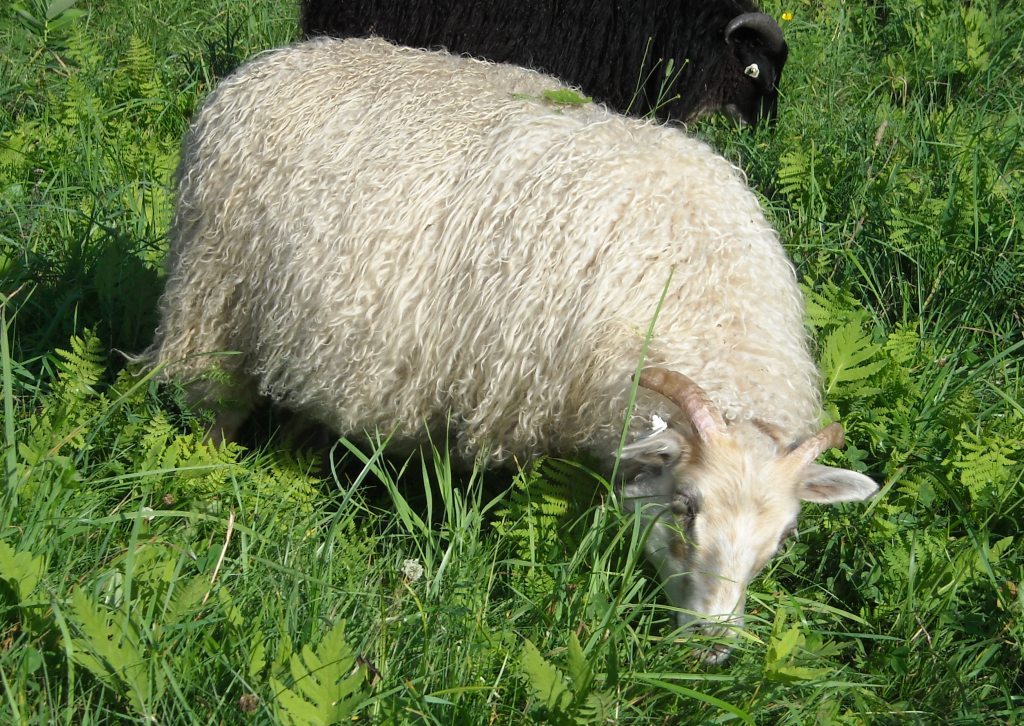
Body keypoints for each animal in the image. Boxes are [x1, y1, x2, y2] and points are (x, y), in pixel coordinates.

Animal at [145, 37, 878, 662]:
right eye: (685, 509)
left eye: (782, 538)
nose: (713, 651)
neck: (696, 288)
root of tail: (263, 65)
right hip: (212, 301)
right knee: (212, 410)